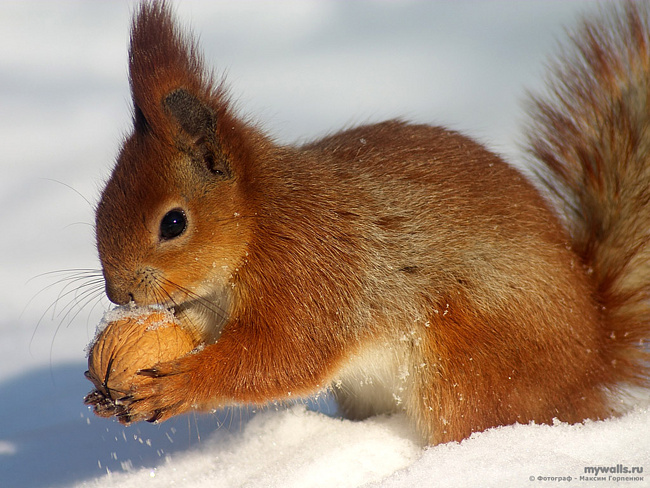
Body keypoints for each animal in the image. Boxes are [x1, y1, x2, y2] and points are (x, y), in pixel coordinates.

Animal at [86, 0, 648, 444]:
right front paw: (106, 379)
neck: (260, 223)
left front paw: (175, 386)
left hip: (469, 366)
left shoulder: (310, 273)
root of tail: (594, 357)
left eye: (173, 223)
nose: (119, 294)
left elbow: (282, 357)